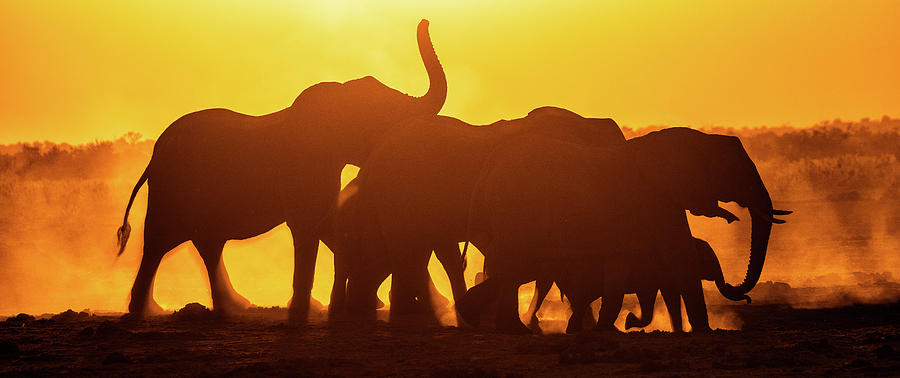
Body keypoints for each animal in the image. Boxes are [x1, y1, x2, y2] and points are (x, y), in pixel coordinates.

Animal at [114, 20, 448, 320]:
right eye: (384, 115)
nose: (425, 20)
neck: (336, 97)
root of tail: (154, 155)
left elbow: (326, 224)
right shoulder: (304, 166)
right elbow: (309, 225)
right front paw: (302, 313)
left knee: (206, 243)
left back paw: (231, 307)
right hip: (171, 187)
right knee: (159, 242)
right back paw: (144, 310)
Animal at [458, 127, 788, 334]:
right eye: (738, 174)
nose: (745, 296)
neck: (696, 138)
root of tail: (487, 169)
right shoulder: (658, 198)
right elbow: (680, 255)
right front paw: (705, 331)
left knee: (515, 268)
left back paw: (493, 322)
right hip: (516, 211)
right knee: (514, 266)